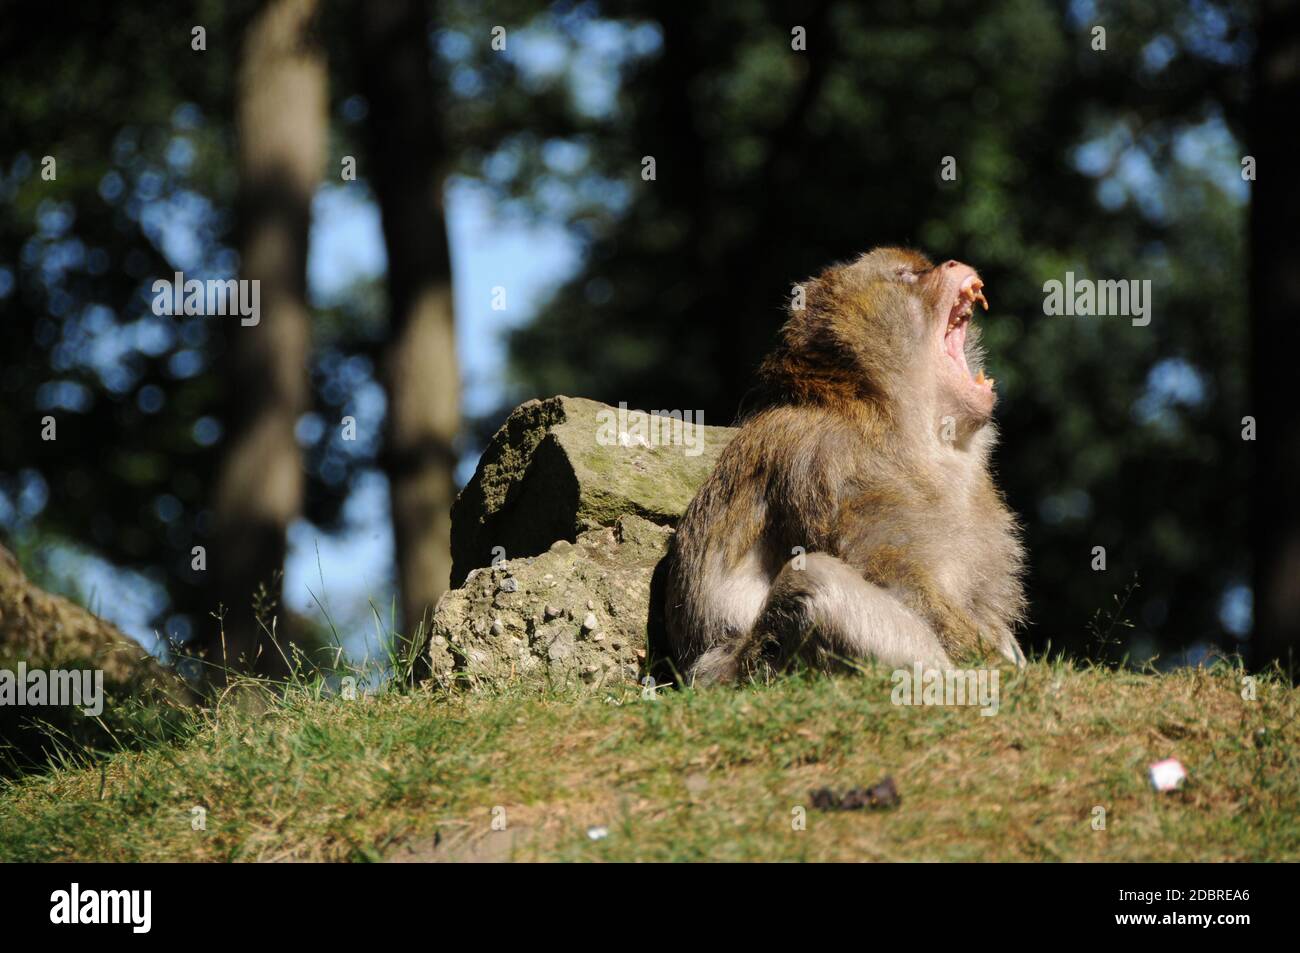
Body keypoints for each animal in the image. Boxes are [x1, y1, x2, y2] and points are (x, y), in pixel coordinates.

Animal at [663, 247, 1026, 684]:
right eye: (907, 276)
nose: (953, 265)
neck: (901, 426)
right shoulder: (829, 460)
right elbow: (896, 579)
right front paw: (991, 661)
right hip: (754, 670)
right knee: (815, 579)